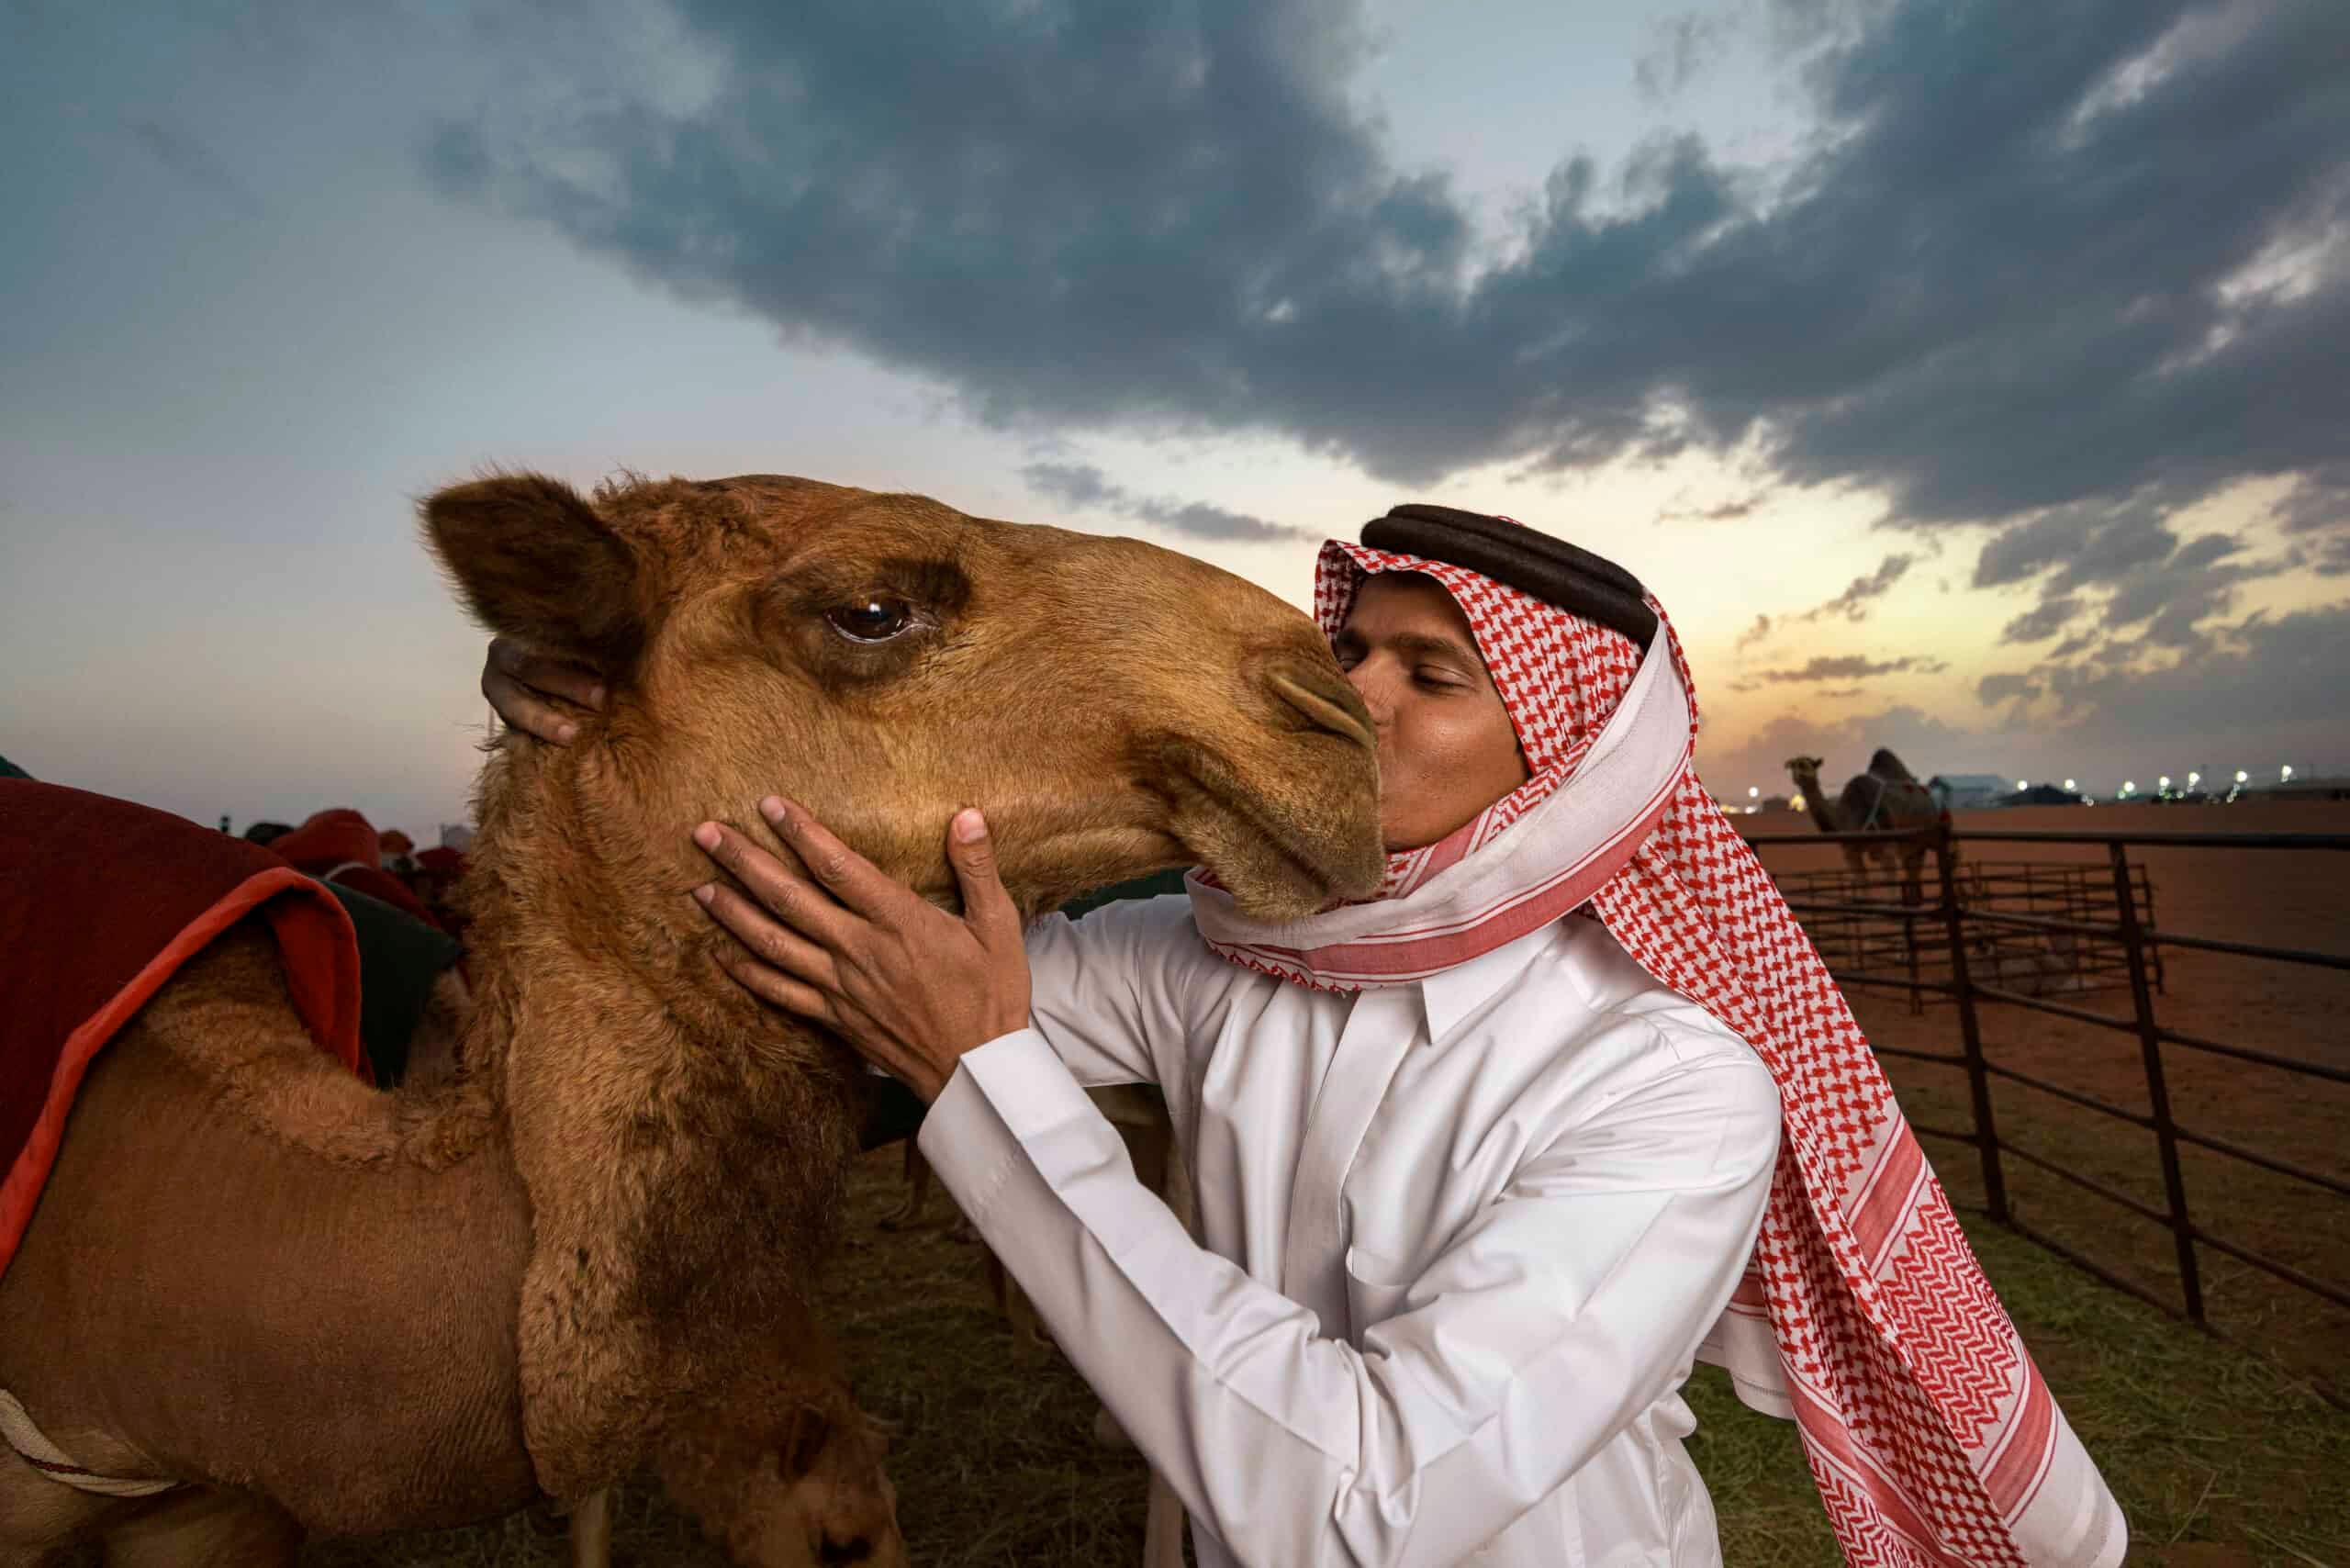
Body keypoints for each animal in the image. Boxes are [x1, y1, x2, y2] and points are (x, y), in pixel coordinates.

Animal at [1785, 749, 1940, 906]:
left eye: (1805, 764)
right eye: (1793, 765)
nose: (1798, 776)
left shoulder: (1884, 846)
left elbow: (1888, 884)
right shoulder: (1851, 851)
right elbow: (1863, 884)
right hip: (1911, 846)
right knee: (1912, 872)